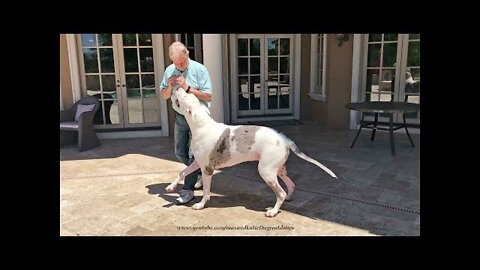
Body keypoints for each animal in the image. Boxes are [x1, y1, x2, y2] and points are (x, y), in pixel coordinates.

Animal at [166, 88, 338, 217]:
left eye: (184, 96)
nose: (177, 86)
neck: (200, 125)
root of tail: (285, 139)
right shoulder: (197, 162)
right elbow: (182, 172)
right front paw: (170, 187)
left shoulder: (207, 169)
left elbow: (206, 191)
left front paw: (200, 205)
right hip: (279, 169)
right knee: (291, 185)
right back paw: (287, 199)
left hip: (266, 170)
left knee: (280, 192)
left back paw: (273, 211)